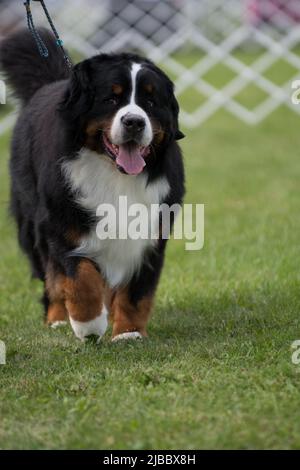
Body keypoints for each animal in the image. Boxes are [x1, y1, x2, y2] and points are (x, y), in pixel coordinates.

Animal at [0, 28, 185, 342]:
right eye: (111, 99)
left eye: (150, 102)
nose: (134, 122)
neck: (115, 175)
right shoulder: (63, 225)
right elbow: (80, 277)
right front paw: (88, 324)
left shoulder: (152, 230)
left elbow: (136, 291)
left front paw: (128, 333)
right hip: (32, 225)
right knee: (51, 277)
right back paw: (58, 319)